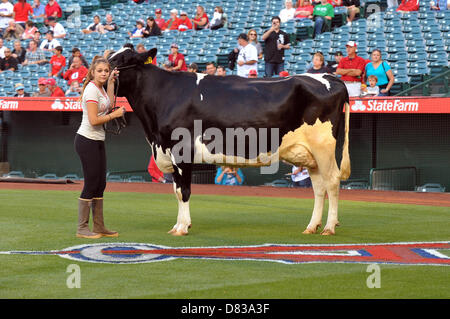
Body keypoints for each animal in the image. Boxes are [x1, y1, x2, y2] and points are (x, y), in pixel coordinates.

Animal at [107, 47, 350, 238]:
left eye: (122, 60)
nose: (100, 69)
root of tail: (331, 78)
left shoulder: (181, 150)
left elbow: (183, 191)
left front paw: (182, 227)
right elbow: (176, 190)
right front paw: (177, 225)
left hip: (323, 147)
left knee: (332, 181)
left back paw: (329, 227)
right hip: (310, 154)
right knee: (319, 187)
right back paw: (312, 226)